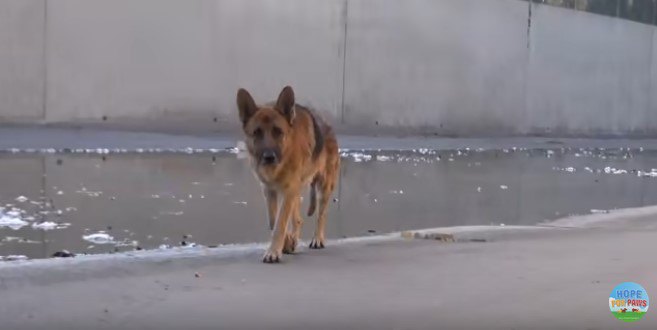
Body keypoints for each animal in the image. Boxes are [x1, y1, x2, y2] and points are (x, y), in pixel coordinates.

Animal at [236, 85, 338, 262]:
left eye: (278, 131)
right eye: (257, 132)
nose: (269, 157)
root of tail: (327, 125)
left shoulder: (289, 190)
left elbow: (280, 223)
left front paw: (273, 251)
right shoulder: (269, 190)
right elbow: (273, 221)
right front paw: (285, 243)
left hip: (323, 187)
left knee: (321, 214)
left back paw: (317, 239)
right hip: (296, 192)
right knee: (298, 220)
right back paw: (293, 240)